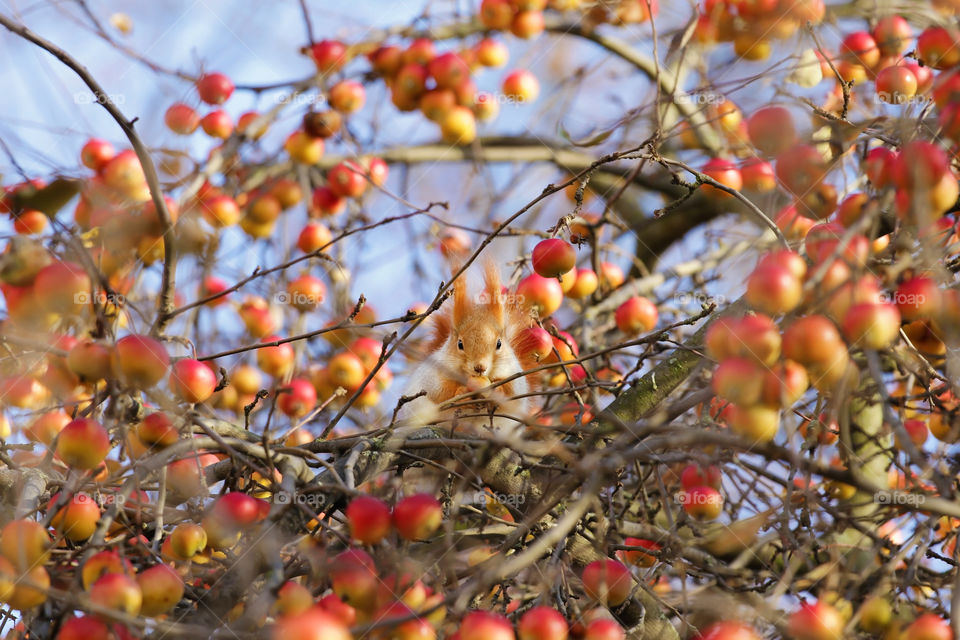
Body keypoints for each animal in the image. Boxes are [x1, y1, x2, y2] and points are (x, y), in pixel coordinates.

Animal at [400, 262, 540, 436]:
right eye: (460, 344)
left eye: (499, 344)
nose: (480, 367)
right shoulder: (431, 376)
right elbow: (440, 391)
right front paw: (461, 393)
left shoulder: (515, 375)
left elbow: (513, 393)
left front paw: (498, 391)